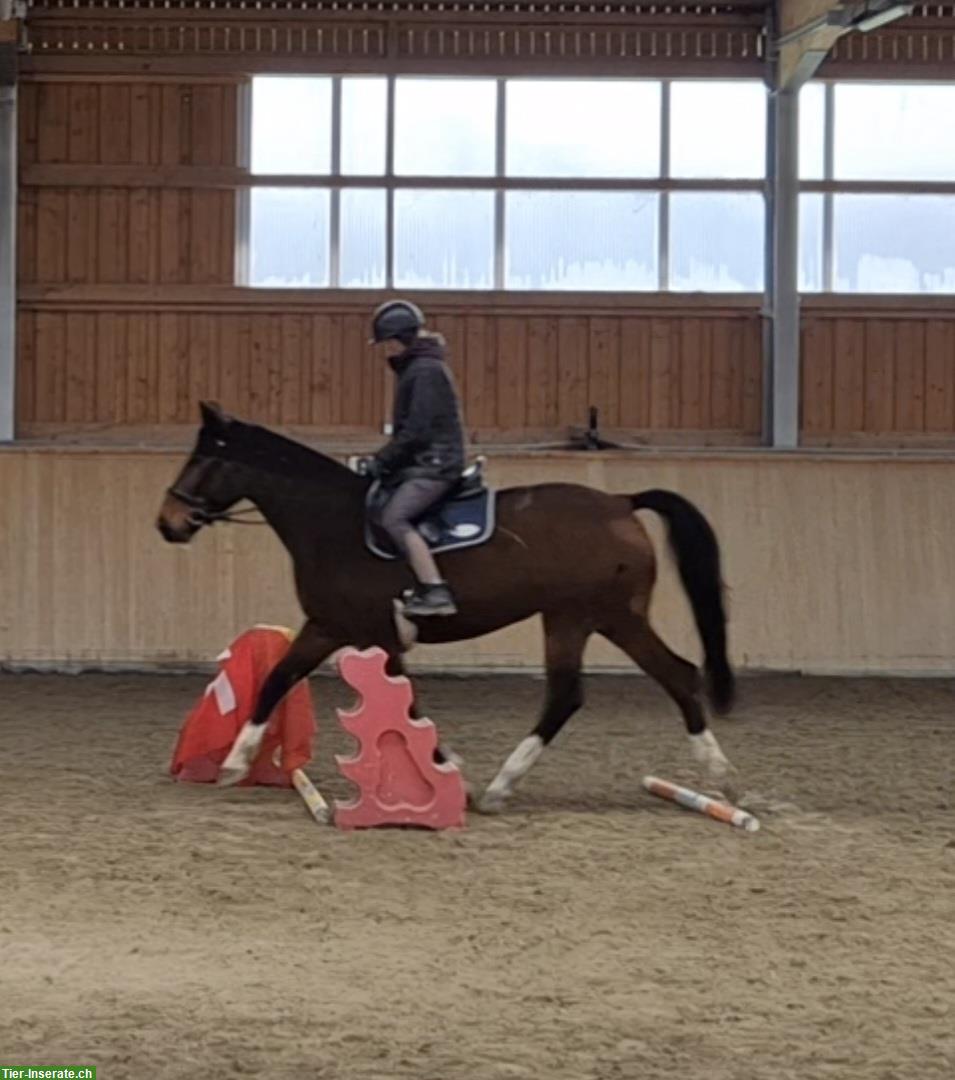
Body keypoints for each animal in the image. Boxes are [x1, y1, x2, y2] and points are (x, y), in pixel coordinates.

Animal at [156, 403, 738, 812]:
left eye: (207, 458)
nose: (168, 523)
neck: (332, 523)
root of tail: (620, 503)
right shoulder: (327, 626)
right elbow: (278, 678)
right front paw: (235, 762)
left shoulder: (377, 633)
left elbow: (408, 704)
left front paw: (444, 765)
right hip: (575, 619)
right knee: (589, 691)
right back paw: (504, 787)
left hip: (601, 616)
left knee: (664, 677)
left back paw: (718, 776)